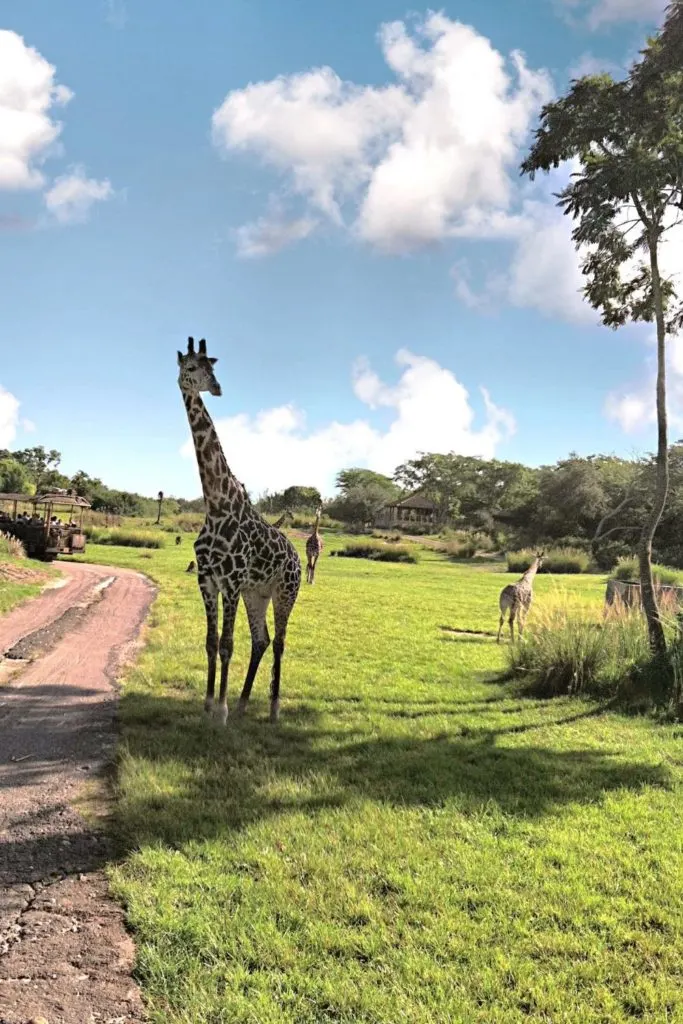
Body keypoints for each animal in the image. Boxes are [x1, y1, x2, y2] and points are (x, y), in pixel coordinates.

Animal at [179, 339, 301, 724]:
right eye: (190, 368)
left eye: (212, 367)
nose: (216, 388)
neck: (216, 503)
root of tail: (297, 555)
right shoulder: (207, 580)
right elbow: (211, 641)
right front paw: (207, 704)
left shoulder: (230, 582)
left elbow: (226, 644)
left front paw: (221, 711)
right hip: (256, 593)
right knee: (261, 640)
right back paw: (246, 702)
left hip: (285, 591)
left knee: (280, 641)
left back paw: (273, 709)